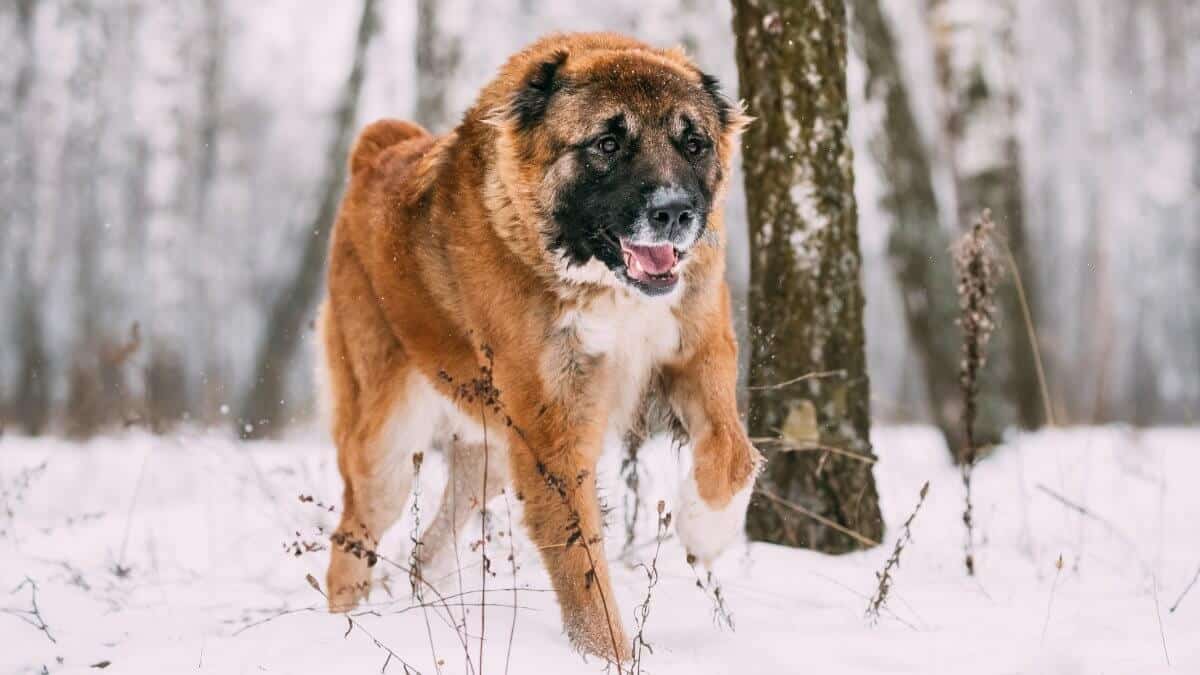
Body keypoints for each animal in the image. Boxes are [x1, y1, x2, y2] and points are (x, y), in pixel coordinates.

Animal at [316, 31, 758, 658]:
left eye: (693, 143)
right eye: (607, 144)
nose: (675, 211)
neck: (600, 280)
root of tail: (377, 152)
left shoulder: (700, 353)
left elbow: (734, 453)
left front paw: (705, 530)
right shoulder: (553, 434)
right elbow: (583, 573)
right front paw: (610, 658)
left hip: (492, 453)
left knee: (427, 552)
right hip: (387, 447)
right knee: (349, 545)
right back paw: (345, 633)